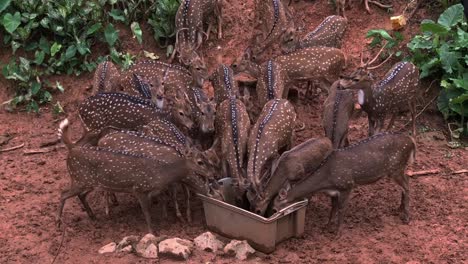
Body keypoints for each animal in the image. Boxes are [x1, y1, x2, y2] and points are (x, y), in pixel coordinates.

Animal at [56, 118, 221, 232]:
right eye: (200, 162)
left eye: (211, 160)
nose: (213, 174)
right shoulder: (148, 186)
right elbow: (164, 200)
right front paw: (173, 219)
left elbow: (171, 196)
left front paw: (174, 217)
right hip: (82, 180)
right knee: (66, 193)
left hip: (88, 181)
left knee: (83, 194)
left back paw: (94, 215)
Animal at [272, 133, 414, 234]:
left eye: (276, 206)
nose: (273, 214)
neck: (326, 180)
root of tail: (412, 141)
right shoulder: (334, 192)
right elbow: (333, 207)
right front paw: (327, 226)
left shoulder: (347, 185)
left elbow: (341, 208)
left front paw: (337, 232)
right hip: (399, 168)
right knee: (406, 181)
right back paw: (399, 209)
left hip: (396, 168)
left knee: (407, 186)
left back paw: (406, 217)